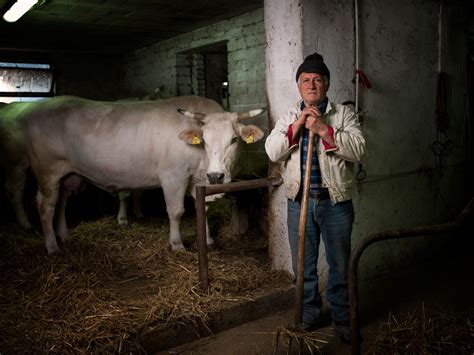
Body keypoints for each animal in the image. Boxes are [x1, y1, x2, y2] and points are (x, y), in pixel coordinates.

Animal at [20, 96, 264, 254]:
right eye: (203, 140)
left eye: (234, 139)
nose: (216, 177)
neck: (202, 164)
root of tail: (37, 108)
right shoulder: (172, 176)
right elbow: (176, 212)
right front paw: (177, 245)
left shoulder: (198, 180)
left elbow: (201, 209)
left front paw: (209, 241)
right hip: (47, 171)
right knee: (45, 204)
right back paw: (52, 246)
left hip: (66, 174)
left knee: (61, 202)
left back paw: (64, 236)